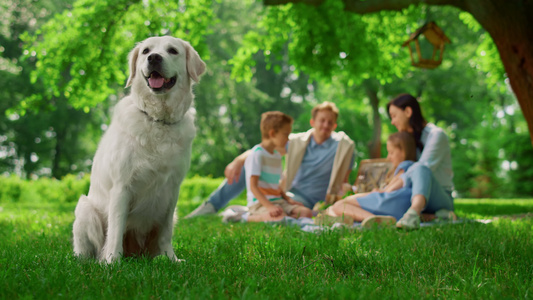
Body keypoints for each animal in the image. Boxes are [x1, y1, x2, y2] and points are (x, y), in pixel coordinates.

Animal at [70, 37, 204, 262]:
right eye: (146, 51)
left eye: (172, 50)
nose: (154, 58)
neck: (158, 119)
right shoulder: (122, 186)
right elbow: (116, 229)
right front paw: (112, 261)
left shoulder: (173, 189)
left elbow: (166, 231)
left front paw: (170, 259)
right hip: (85, 208)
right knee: (89, 250)